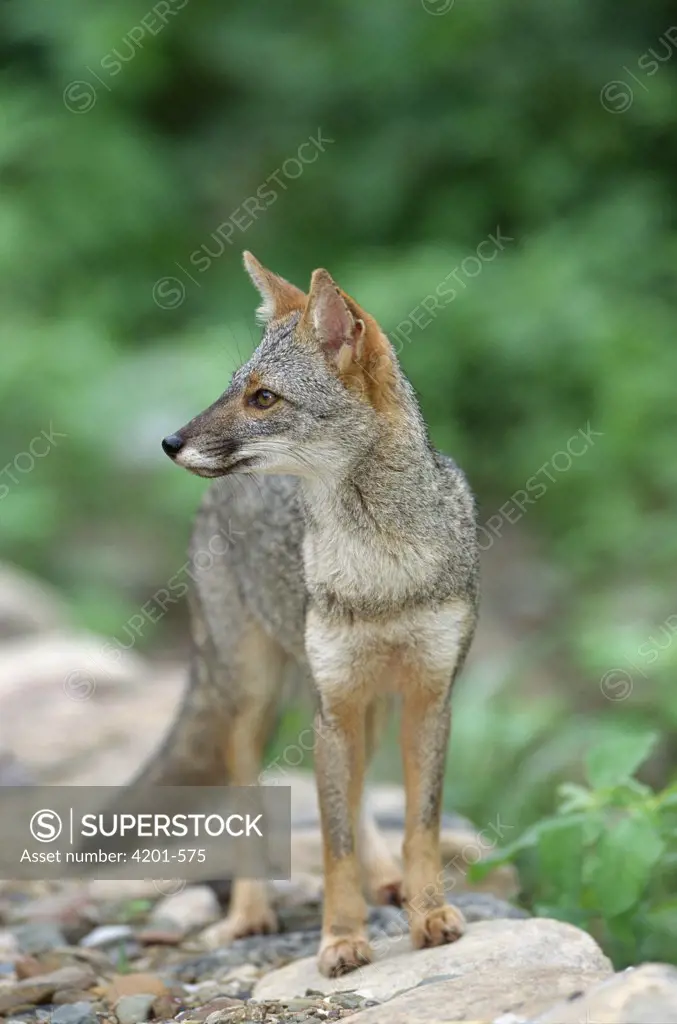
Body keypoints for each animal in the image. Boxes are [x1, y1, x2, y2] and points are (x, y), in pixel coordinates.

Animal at [144, 253, 481, 974]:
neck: (383, 570)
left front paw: (429, 913)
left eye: (263, 398)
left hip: (360, 709)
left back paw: (390, 883)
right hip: (260, 701)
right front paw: (342, 938)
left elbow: (419, 826)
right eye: (232, 389)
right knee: (249, 797)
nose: (169, 441)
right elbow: (332, 844)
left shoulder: (429, 697)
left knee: (358, 798)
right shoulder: (334, 708)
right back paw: (249, 913)